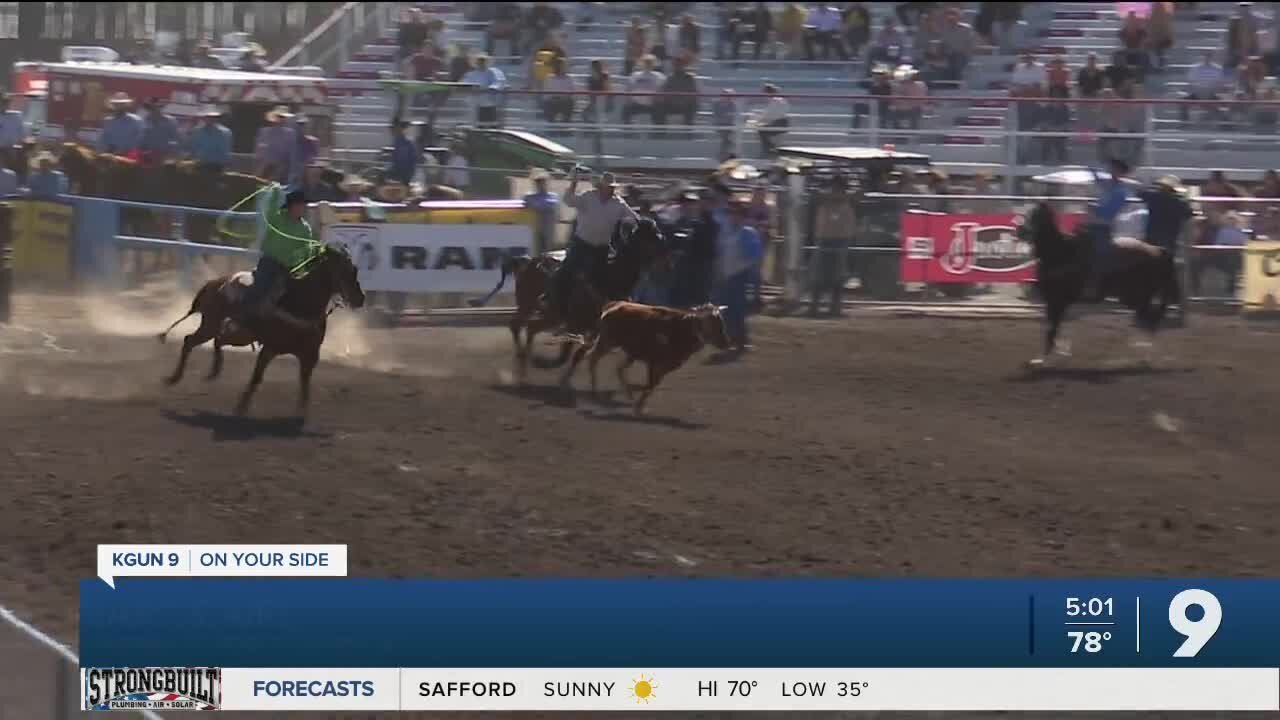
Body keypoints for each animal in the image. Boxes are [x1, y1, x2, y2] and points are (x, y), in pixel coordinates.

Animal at [157, 244, 366, 415]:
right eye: (343, 271)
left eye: (355, 270)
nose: (360, 299)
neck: (299, 302)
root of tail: (216, 282)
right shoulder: (270, 348)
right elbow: (257, 377)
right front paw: (241, 407)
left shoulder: (311, 355)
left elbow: (305, 383)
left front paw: (300, 413)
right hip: (212, 324)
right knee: (191, 341)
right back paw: (174, 378)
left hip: (239, 334)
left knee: (217, 340)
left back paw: (213, 371)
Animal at [471, 215, 670, 381]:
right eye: (653, 236)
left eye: (658, 233)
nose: (669, 255)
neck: (607, 277)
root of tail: (528, 261)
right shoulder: (576, 323)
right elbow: (567, 353)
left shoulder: (594, 329)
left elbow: (576, 354)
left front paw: (562, 378)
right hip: (531, 305)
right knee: (520, 326)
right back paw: (523, 363)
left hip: (547, 313)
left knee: (528, 327)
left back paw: (525, 362)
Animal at [1018, 199, 1177, 363]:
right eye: (1025, 212)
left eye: (1037, 214)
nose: (1020, 231)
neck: (1061, 252)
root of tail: (1157, 250)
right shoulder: (1053, 301)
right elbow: (1053, 328)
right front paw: (1055, 353)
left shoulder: (1058, 300)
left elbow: (1052, 328)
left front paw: (1044, 359)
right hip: (1134, 298)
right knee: (1149, 321)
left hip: (1138, 297)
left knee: (1150, 322)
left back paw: (1146, 356)